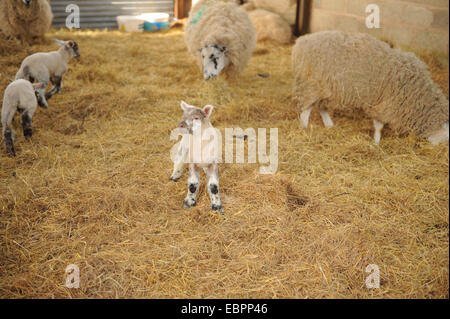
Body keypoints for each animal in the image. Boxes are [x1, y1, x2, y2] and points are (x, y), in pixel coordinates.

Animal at [294, 30, 448, 146]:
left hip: (328, 90)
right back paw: (304, 128)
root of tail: (301, 42)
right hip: (312, 85)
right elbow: (379, 127)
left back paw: (329, 125)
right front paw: (376, 143)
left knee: (321, 107)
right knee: (306, 110)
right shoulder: (383, 105)